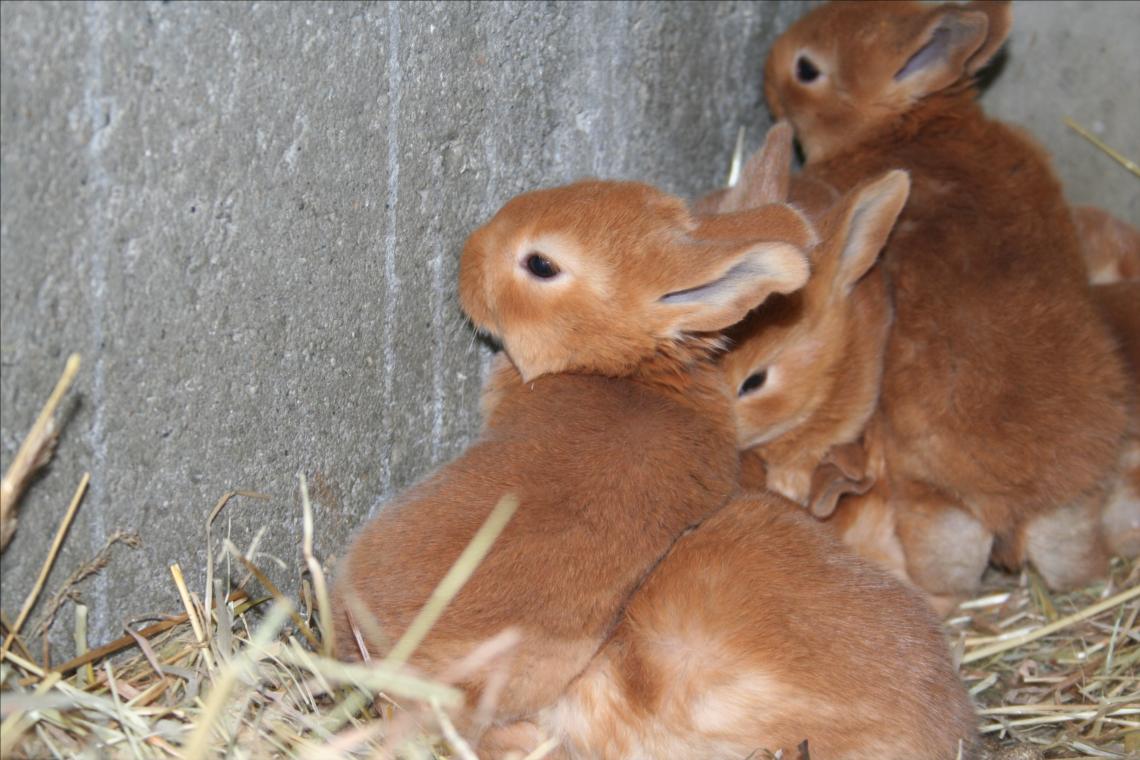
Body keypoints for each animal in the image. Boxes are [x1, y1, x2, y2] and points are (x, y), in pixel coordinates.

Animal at [766, 0, 1130, 601]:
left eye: (807, 69)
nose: (767, 75)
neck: (907, 123)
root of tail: (1018, 501)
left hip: (933, 508)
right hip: (1075, 513)